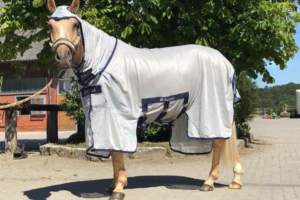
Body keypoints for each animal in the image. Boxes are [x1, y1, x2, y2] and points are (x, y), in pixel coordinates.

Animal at [46, 0, 244, 199]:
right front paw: (113, 185)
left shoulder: (117, 116)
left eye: (75, 24)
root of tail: (225, 62)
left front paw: (119, 188)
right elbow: (114, 153)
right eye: (50, 25)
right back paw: (235, 180)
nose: (63, 57)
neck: (102, 64)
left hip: (211, 111)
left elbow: (118, 152)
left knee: (219, 142)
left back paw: (209, 182)